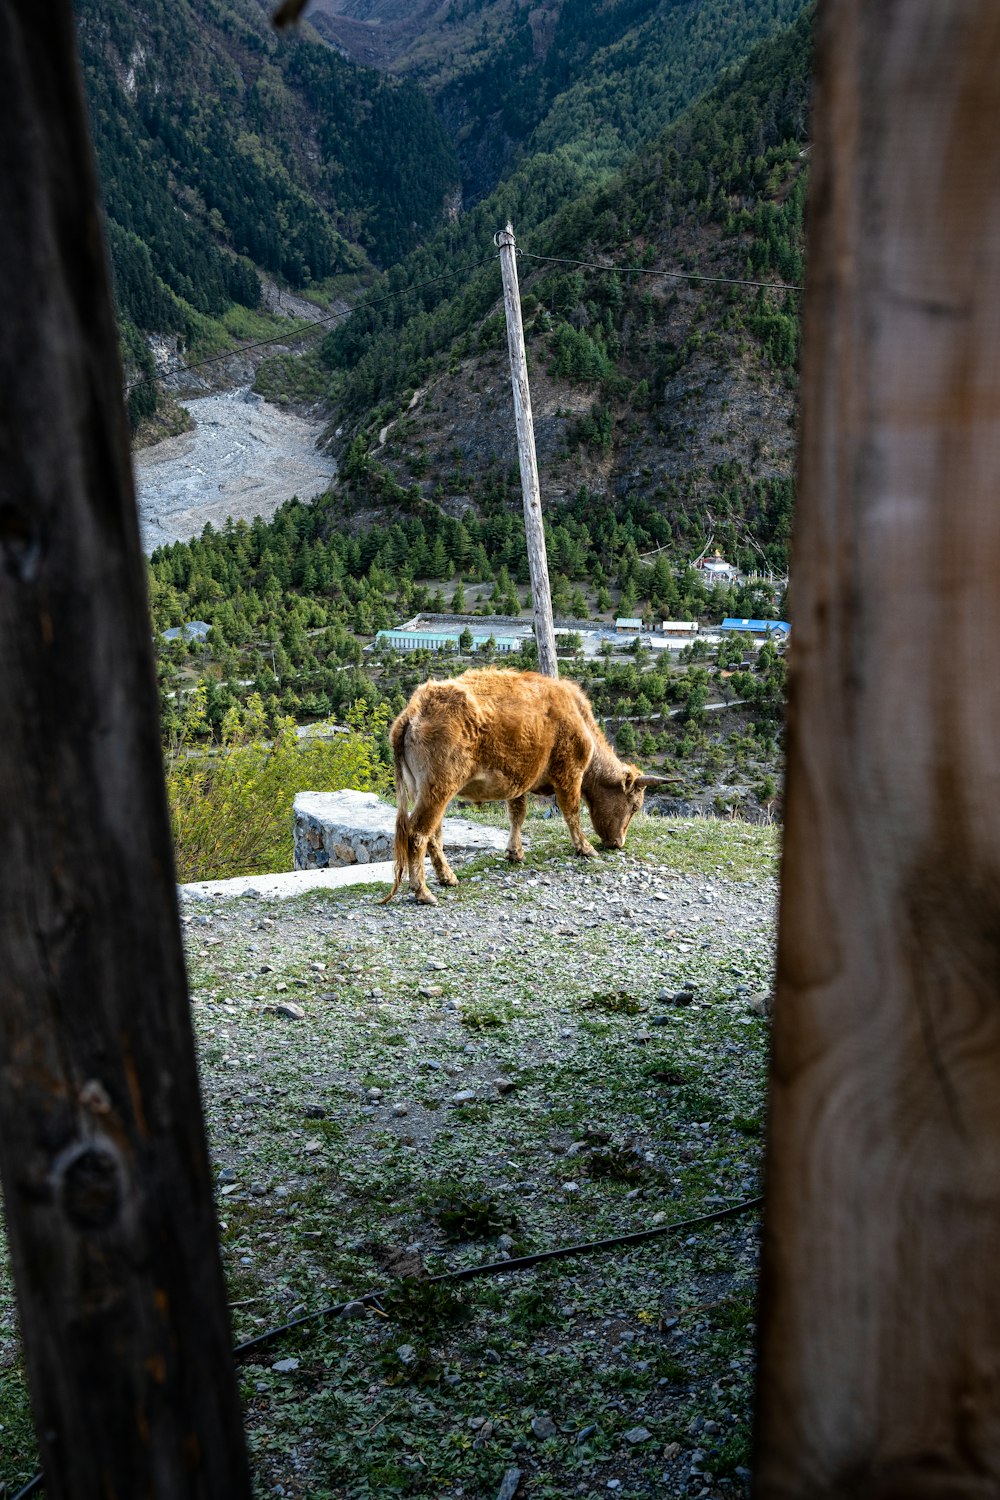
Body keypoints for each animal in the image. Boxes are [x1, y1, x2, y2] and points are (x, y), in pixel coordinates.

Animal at [383, 675, 671, 906]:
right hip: (438, 789)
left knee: (433, 834)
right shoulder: (569, 774)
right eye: (634, 806)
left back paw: (447, 878)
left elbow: (517, 815)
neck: (577, 717)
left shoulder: (518, 781)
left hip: (428, 791)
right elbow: (572, 812)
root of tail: (415, 711)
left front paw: (515, 853)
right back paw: (423, 892)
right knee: (418, 833)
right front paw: (585, 847)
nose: (618, 843)